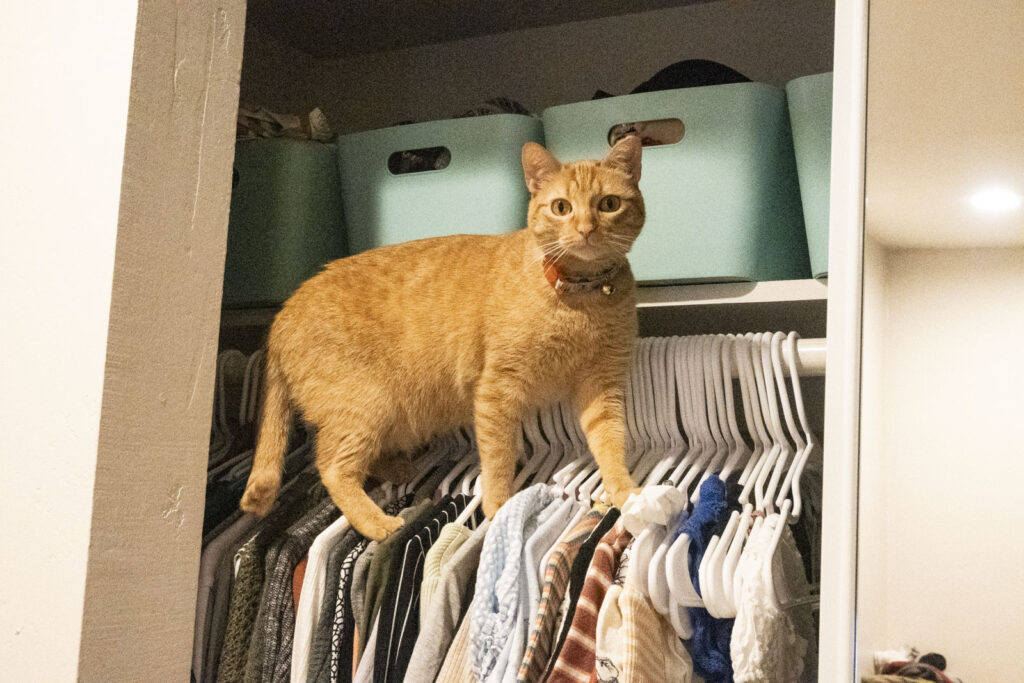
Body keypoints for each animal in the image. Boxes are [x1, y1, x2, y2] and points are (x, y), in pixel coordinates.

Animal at [240, 135, 643, 540]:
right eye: (562, 207)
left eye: (608, 204)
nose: (587, 229)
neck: (581, 298)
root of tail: (284, 309)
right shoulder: (497, 391)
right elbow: (498, 460)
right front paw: (499, 506)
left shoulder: (602, 389)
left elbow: (611, 446)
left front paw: (626, 492)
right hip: (363, 406)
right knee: (331, 466)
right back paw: (376, 522)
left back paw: (398, 471)